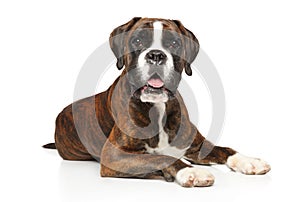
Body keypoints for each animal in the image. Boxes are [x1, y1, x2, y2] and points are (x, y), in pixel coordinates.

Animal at [43, 17, 270, 188]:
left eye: (174, 43)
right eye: (137, 41)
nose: (156, 55)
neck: (158, 107)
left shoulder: (196, 145)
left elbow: (225, 149)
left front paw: (248, 161)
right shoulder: (114, 156)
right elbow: (161, 157)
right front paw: (190, 171)